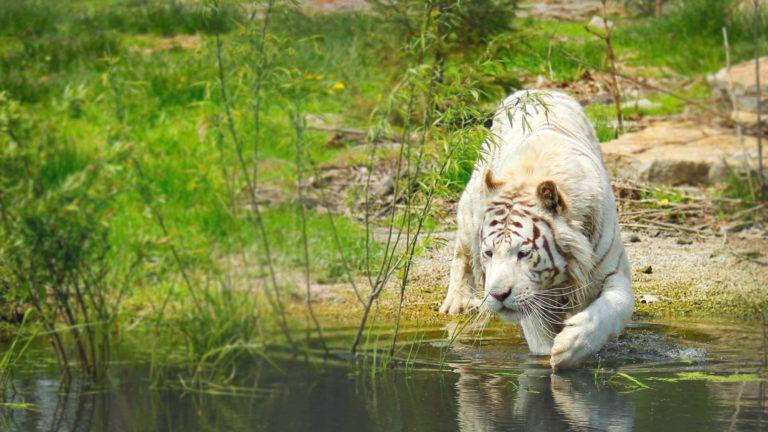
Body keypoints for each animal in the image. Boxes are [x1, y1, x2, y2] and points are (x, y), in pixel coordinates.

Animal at [440, 89, 632, 370]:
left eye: (523, 253)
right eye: (489, 253)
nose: (497, 295)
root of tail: (535, 90)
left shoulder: (613, 270)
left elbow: (611, 309)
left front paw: (571, 345)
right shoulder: (532, 299)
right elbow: (540, 339)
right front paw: (552, 355)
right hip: (471, 207)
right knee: (461, 253)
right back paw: (458, 303)